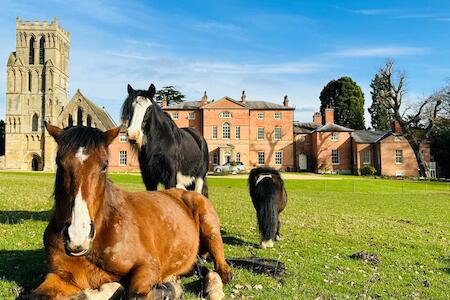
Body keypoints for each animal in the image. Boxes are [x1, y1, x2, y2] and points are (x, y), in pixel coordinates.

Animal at [30, 123, 232, 298]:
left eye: (104, 165)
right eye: (59, 163)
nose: (77, 236)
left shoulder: (148, 266)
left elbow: (134, 294)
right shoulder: (61, 275)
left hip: (210, 229)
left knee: (221, 268)